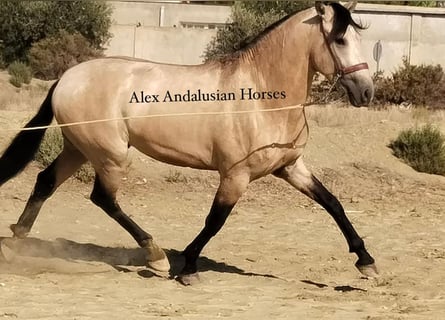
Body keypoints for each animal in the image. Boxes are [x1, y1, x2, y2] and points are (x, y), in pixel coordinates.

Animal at [0, 0, 376, 284]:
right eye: (340, 41)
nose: (366, 92)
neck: (261, 97)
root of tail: (67, 77)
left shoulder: (290, 167)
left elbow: (333, 203)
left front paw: (366, 261)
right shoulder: (235, 176)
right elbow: (214, 221)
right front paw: (189, 267)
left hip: (78, 149)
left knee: (45, 181)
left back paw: (18, 239)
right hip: (109, 155)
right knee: (103, 199)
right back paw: (155, 256)